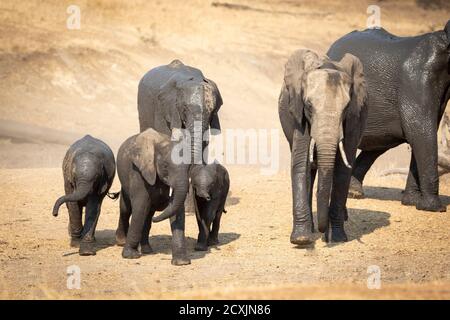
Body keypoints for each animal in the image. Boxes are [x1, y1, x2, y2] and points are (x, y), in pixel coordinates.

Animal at [278, 48, 370, 244]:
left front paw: (337, 238)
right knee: (310, 170)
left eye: (346, 108)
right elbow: (300, 162)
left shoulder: (353, 119)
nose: (322, 232)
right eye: (309, 105)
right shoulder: (298, 112)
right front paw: (301, 239)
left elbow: (343, 168)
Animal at [326, 22, 450, 212]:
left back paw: (354, 192)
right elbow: (420, 133)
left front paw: (412, 202)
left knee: (380, 144)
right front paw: (434, 208)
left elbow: (421, 135)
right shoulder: (417, 79)